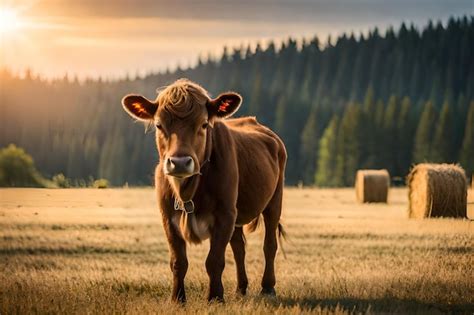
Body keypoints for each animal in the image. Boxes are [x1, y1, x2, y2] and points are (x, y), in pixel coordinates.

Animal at [121, 79, 286, 304]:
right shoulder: (168, 217)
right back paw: (240, 289)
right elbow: (178, 261)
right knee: (239, 248)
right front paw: (177, 299)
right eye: (159, 125)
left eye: (204, 124)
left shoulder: (225, 214)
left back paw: (267, 287)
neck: (187, 191)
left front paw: (215, 298)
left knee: (269, 244)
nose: (180, 162)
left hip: (274, 201)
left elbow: (214, 260)